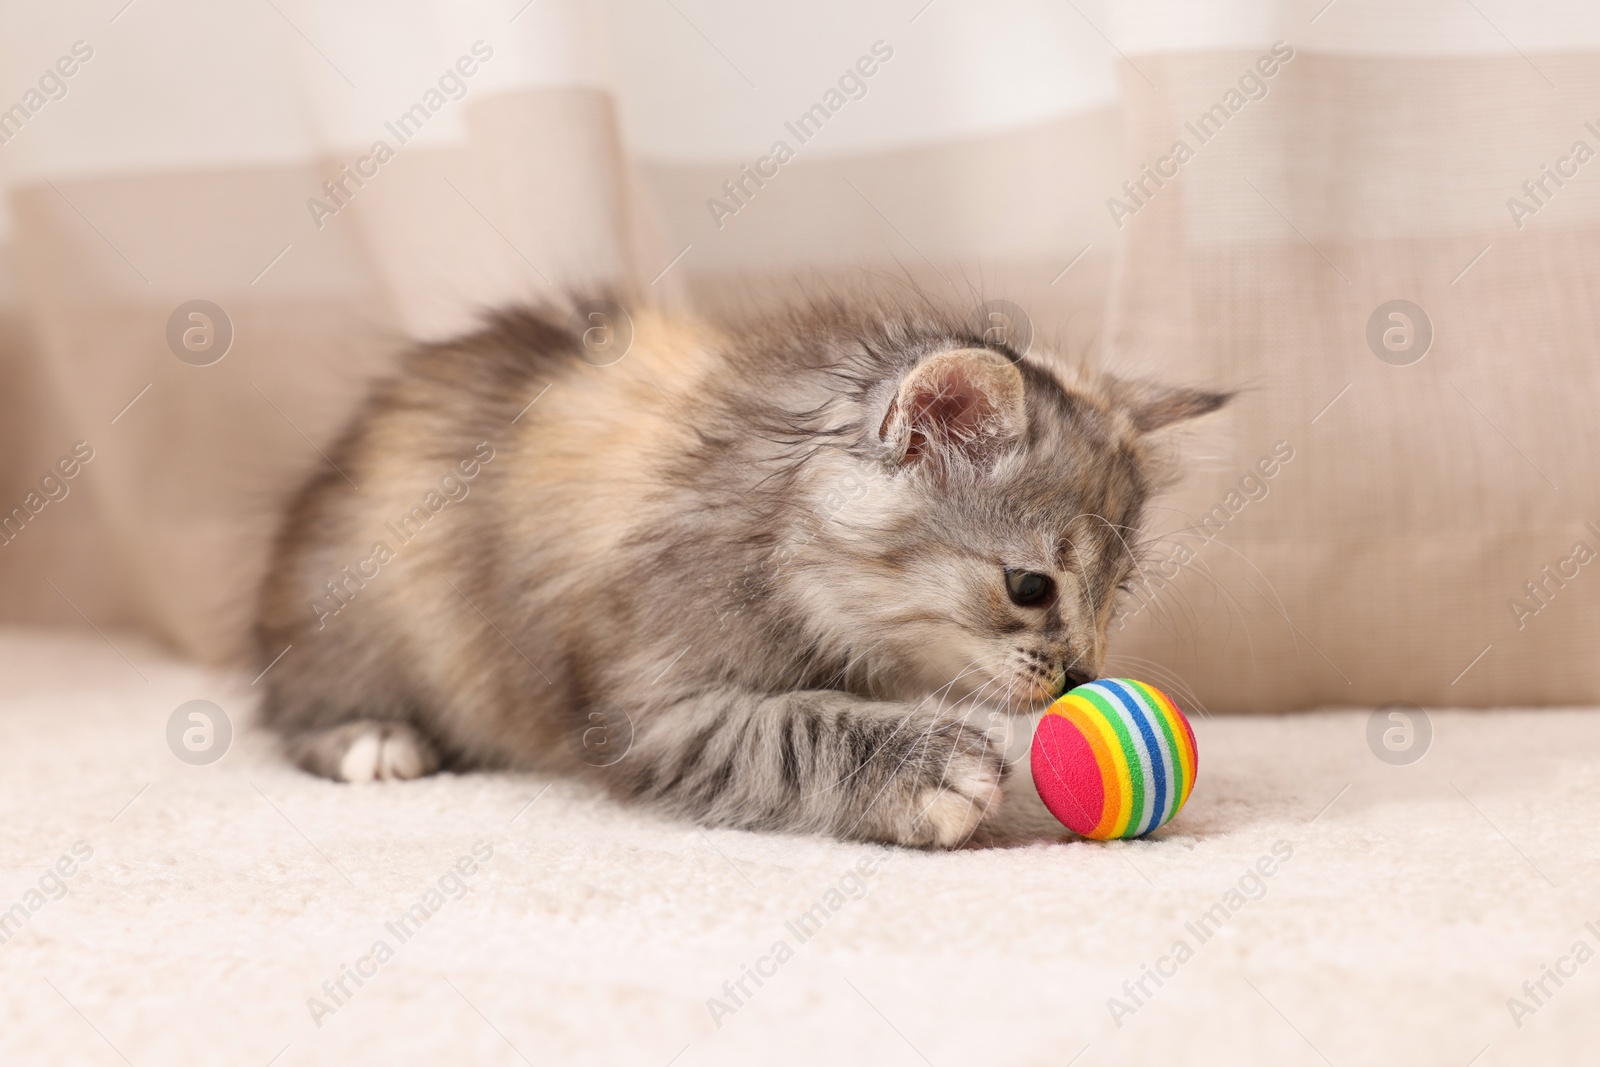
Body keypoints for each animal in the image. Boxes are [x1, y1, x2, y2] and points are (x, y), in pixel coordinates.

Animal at [252, 295, 1222, 844]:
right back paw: (371, 739)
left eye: (1116, 593)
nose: (1085, 674)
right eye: (1030, 588)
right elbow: (786, 729)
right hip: (366, 615)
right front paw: (924, 769)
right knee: (293, 705)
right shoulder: (648, 703)